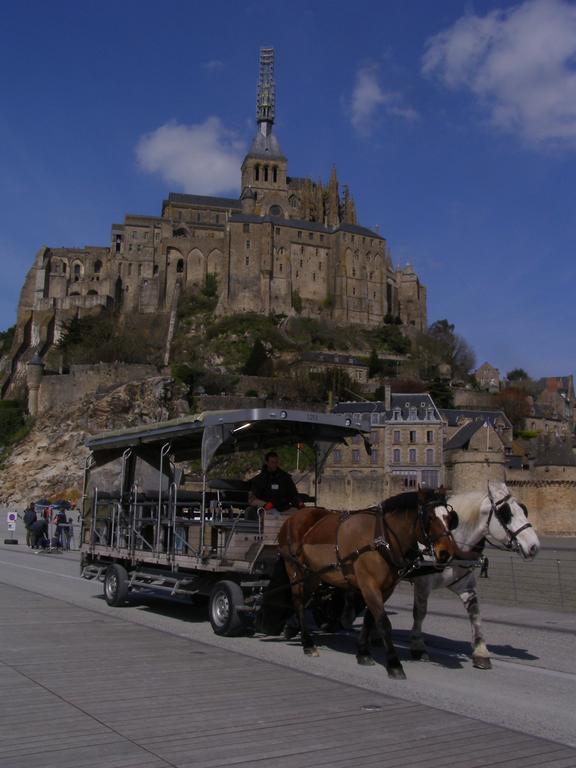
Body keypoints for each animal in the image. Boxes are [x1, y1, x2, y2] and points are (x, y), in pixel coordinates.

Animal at [276, 492, 462, 680]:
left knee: (304, 600)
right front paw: (394, 664)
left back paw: (294, 628)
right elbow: (384, 623)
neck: (381, 539)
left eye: (449, 518)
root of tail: (294, 517)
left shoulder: (385, 589)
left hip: (314, 574)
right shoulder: (369, 585)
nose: (446, 553)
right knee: (299, 602)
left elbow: (370, 620)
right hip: (297, 571)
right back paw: (307, 643)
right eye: (429, 518)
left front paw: (363, 653)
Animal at [410, 480, 540, 672]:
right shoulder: (422, 584)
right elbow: (420, 613)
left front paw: (481, 653)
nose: (534, 546)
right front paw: (418, 646)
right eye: (505, 513)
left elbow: (475, 614)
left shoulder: (465, 585)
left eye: (524, 510)